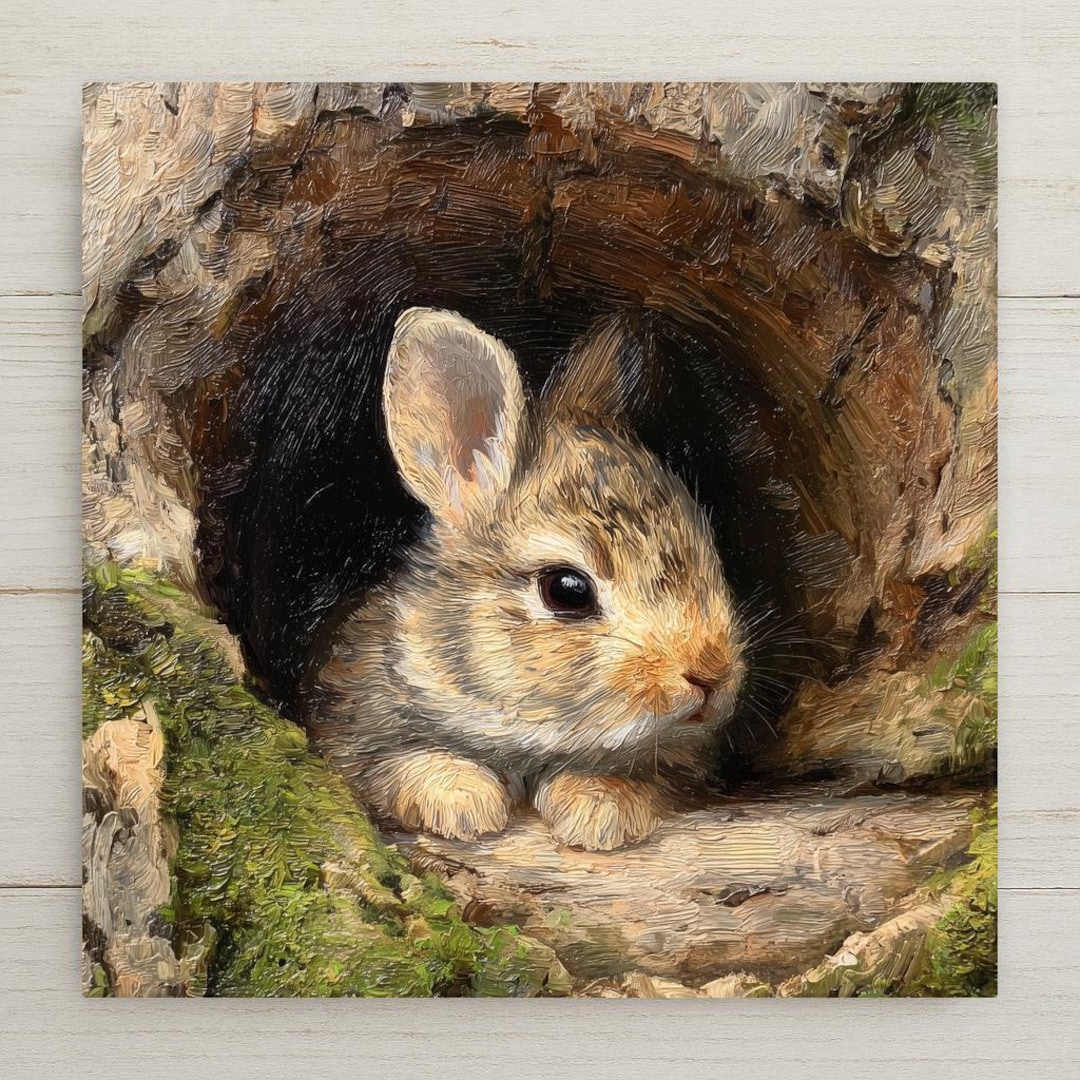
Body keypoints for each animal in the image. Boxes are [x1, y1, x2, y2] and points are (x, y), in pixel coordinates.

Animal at [304, 306, 745, 851]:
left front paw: (601, 807)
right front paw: (461, 800)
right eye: (566, 590)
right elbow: (393, 766)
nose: (712, 675)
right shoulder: (352, 727)